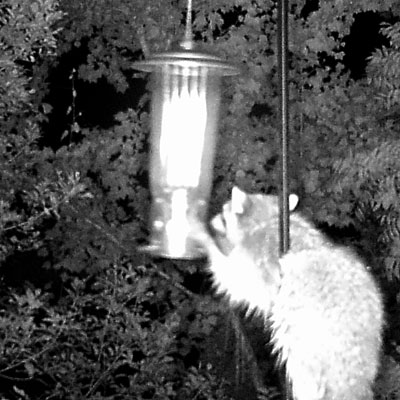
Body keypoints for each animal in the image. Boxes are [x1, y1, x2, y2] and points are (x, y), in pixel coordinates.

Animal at [191, 187, 384, 400]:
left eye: (224, 214)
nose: (211, 220)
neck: (268, 217)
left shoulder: (258, 259)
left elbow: (234, 276)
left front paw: (206, 241)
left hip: (307, 338)